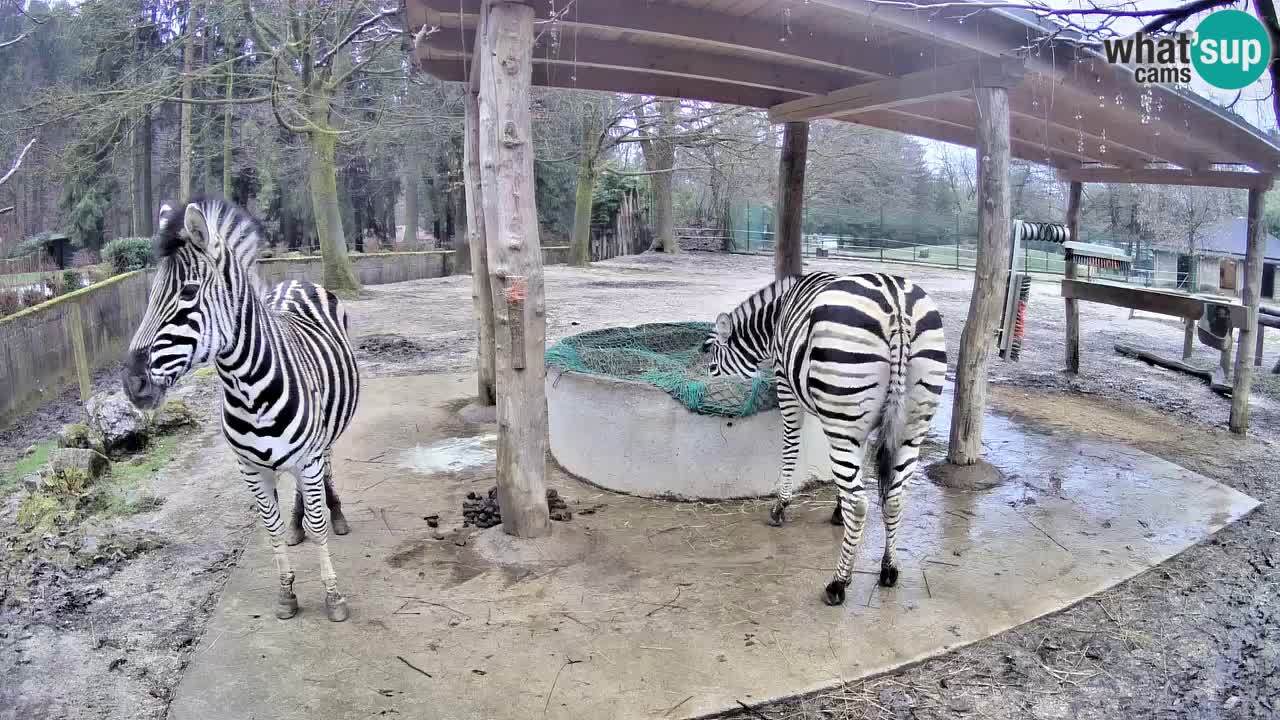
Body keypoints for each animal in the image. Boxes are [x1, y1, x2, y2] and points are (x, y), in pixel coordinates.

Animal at [123, 194, 360, 617]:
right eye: (150, 295)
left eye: (188, 293)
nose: (132, 383)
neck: (249, 390)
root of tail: (296, 280)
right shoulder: (249, 468)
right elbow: (272, 528)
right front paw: (286, 593)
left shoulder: (309, 457)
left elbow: (319, 526)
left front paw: (333, 596)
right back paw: (298, 521)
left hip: (325, 435)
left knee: (326, 470)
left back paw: (337, 513)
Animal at [706, 271, 947, 602]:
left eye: (711, 361)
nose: (704, 387)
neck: (776, 316)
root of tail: (898, 306)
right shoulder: (848, 423)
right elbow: (851, 471)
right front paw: (836, 510)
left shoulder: (786, 385)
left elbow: (792, 445)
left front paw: (780, 507)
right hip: (911, 427)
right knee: (895, 498)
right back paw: (888, 568)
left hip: (848, 406)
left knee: (859, 505)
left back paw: (838, 583)